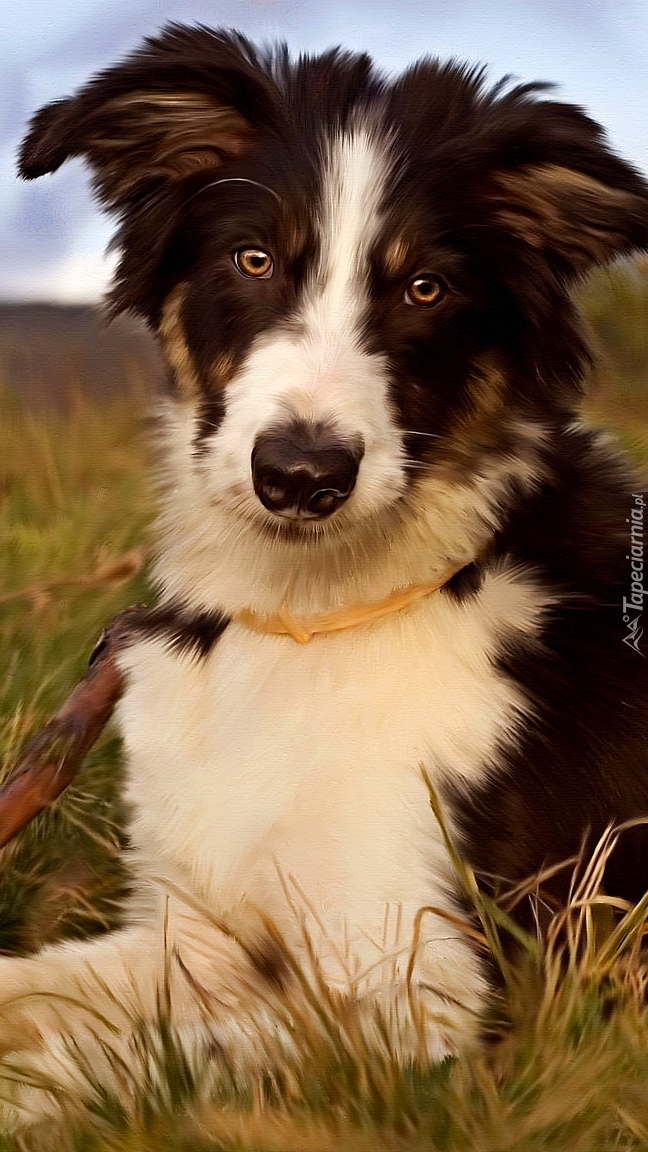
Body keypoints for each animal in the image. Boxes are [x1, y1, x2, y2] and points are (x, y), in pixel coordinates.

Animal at [3, 22, 645, 1124]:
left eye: (426, 287)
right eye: (254, 258)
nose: (302, 478)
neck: (314, 619)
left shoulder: (443, 1005)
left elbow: (131, 1061)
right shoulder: (198, 930)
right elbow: (41, 987)